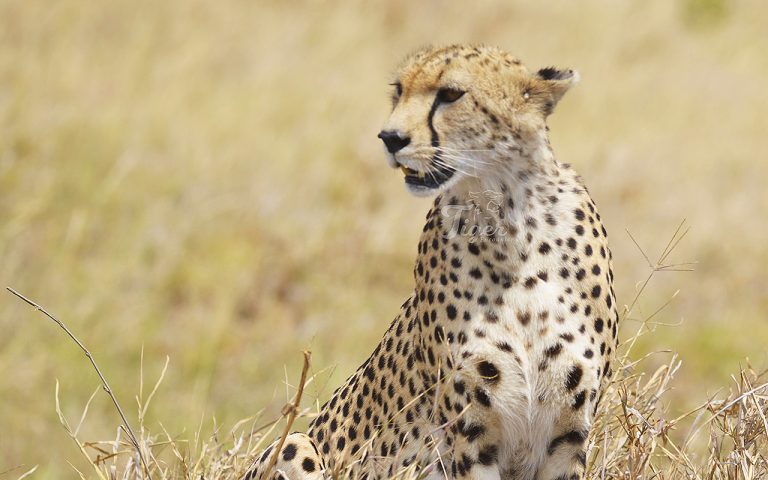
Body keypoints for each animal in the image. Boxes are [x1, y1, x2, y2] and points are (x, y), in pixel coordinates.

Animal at [245, 44, 618, 480]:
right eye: (398, 90)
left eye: (451, 94)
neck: (509, 220)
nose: (390, 138)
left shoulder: (567, 434)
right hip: (296, 442)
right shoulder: (468, 437)